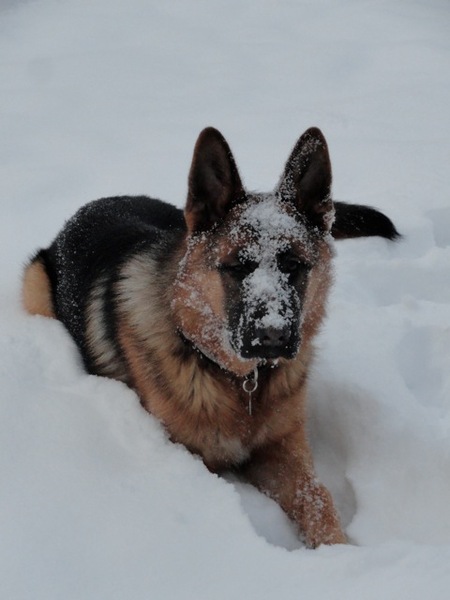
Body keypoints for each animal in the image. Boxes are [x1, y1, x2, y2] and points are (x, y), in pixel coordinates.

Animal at [22, 127, 398, 548]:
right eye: (237, 267)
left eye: (294, 266)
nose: (272, 336)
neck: (241, 382)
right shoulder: (195, 456)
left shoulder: (283, 447)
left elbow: (315, 495)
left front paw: (339, 549)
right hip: (35, 287)